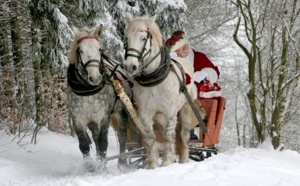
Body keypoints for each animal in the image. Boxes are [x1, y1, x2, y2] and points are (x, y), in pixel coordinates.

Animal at [124, 12, 195, 168]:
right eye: (127, 38)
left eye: (144, 38)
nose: (130, 66)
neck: (153, 79)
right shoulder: (145, 114)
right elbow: (150, 139)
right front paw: (152, 165)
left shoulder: (170, 111)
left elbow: (167, 137)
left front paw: (167, 162)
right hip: (160, 117)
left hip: (186, 109)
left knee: (184, 136)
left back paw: (183, 160)